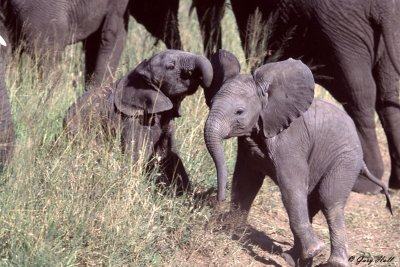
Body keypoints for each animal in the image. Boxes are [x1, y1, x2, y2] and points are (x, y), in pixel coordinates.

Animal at [203, 50, 390, 267]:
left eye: (239, 112)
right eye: (211, 103)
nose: (219, 199)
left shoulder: (291, 140)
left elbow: (290, 186)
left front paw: (316, 250)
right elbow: (246, 180)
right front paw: (231, 229)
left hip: (345, 160)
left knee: (329, 200)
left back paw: (331, 262)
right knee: (313, 201)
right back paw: (294, 259)